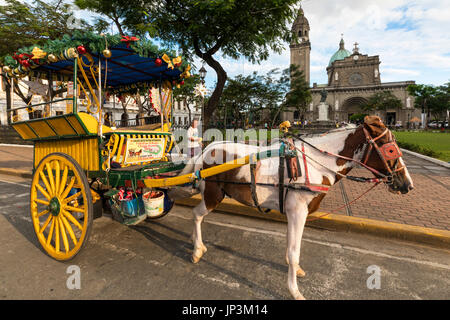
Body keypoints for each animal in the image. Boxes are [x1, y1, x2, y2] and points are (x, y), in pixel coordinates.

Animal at [170, 115, 414, 300]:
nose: (407, 184)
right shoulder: (298, 210)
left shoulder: (294, 212)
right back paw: (197, 249)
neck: (315, 163)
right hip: (214, 194)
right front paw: (294, 291)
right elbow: (294, 251)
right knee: (197, 214)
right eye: (390, 150)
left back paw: (195, 241)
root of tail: (207, 149)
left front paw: (294, 270)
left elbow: (292, 245)